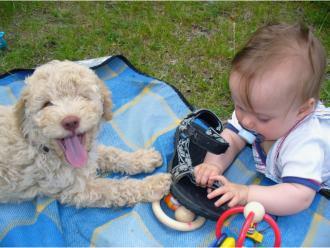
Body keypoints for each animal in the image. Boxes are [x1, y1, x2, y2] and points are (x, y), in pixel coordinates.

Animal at [0, 60, 171, 207]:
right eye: (46, 104)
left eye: (83, 96)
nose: (70, 121)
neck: (45, 148)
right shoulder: (76, 189)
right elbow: (115, 187)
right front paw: (152, 184)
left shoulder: (90, 151)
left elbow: (110, 153)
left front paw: (143, 158)